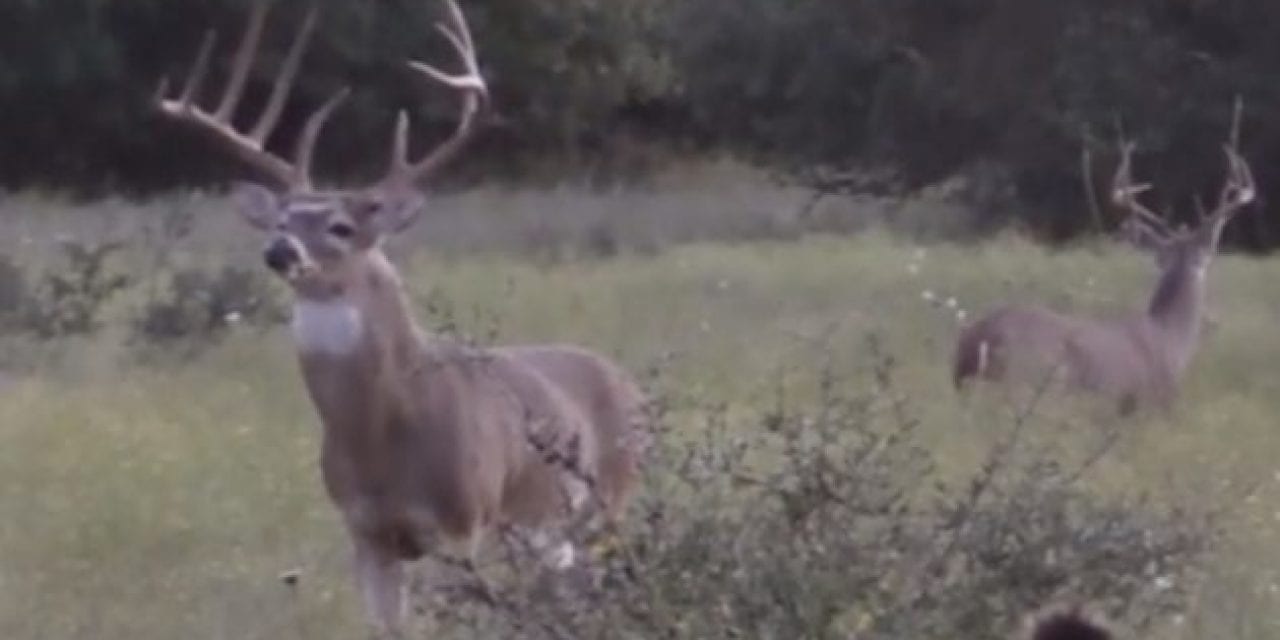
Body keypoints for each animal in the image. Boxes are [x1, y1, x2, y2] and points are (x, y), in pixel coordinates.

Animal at [153, 1, 645, 634]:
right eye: (282, 220)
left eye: (341, 226)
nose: (280, 251)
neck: (384, 437)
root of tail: (627, 381)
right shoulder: (367, 535)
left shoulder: (462, 522)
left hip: (609, 499)